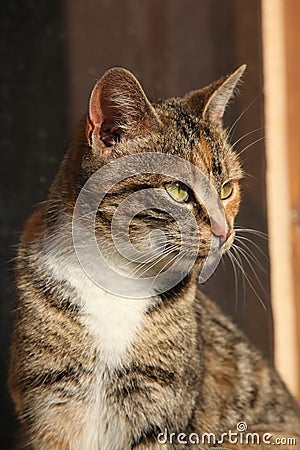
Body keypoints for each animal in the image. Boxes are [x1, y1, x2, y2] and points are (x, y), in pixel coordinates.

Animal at [8, 65, 300, 448]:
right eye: (178, 191)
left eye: (226, 190)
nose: (225, 232)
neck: (115, 277)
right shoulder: (49, 399)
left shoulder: (159, 409)